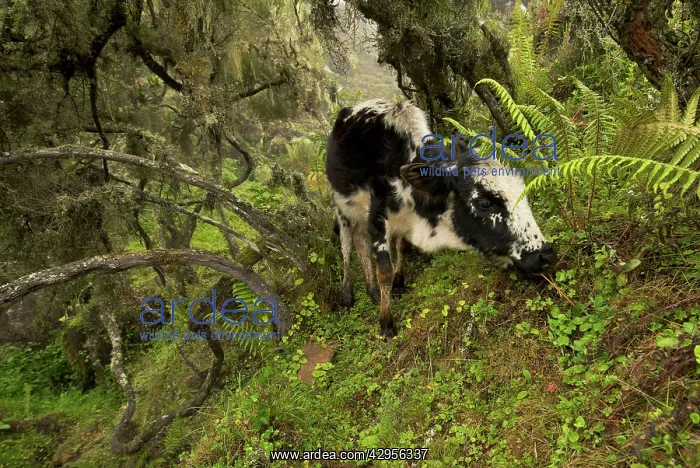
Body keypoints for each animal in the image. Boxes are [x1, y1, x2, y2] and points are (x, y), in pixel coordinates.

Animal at [325, 99, 557, 337]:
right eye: (484, 203)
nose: (545, 256)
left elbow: (402, 247)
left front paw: (399, 282)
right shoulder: (378, 218)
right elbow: (384, 271)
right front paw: (386, 322)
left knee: (361, 241)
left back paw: (371, 290)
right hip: (341, 206)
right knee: (347, 243)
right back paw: (348, 292)